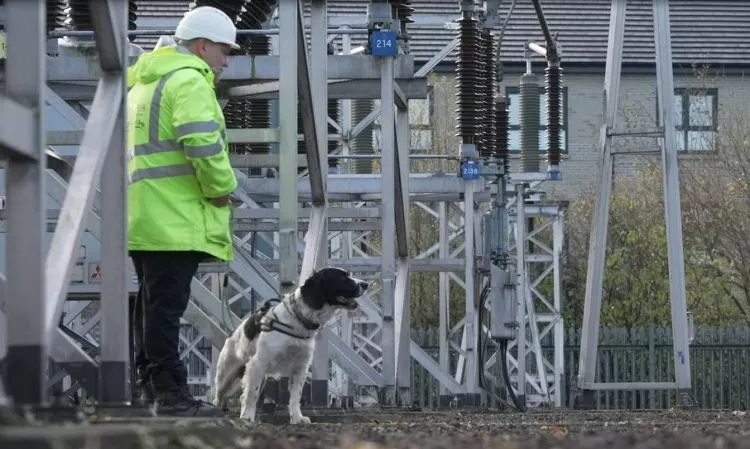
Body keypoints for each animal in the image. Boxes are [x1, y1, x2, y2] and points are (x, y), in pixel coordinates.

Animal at [213, 266, 368, 424]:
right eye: (342, 277)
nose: (365, 284)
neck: (298, 320)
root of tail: (232, 333)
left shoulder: (300, 368)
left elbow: (295, 397)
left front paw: (297, 418)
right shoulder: (258, 364)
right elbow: (252, 394)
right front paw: (247, 417)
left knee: (240, 396)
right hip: (226, 376)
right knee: (219, 396)